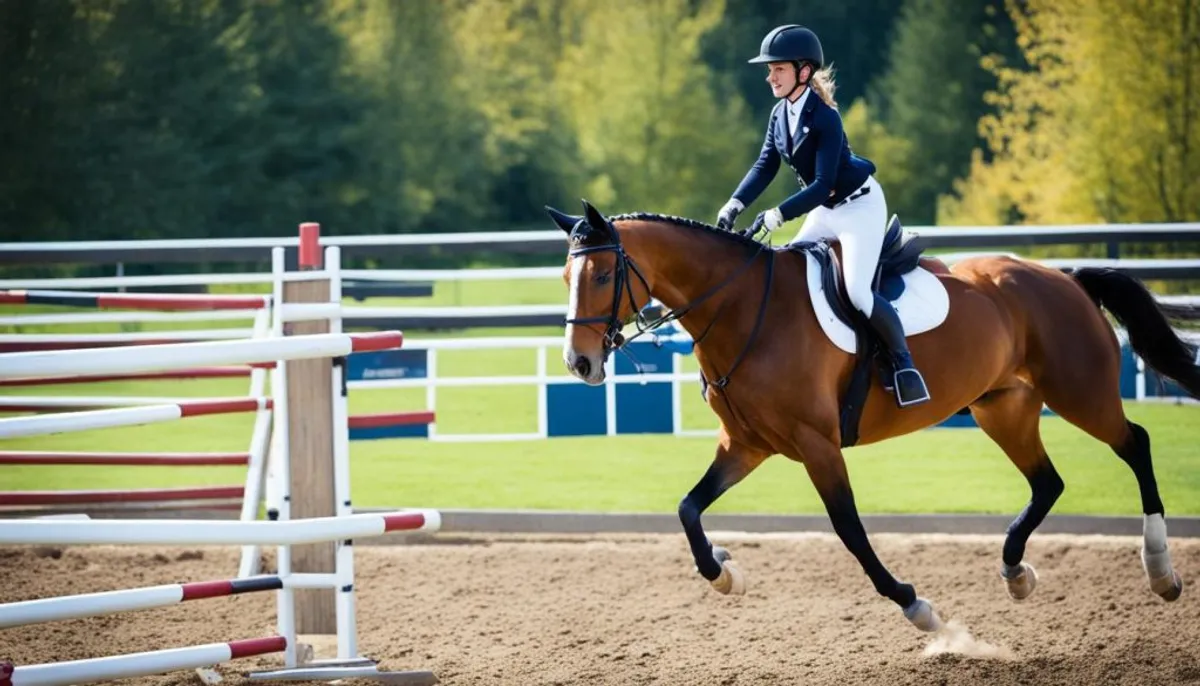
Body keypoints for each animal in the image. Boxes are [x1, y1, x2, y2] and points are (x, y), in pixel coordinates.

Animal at [547, 197, 1200, 633]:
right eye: (565, 275)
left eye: (602, 274)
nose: (579, 363)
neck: (740, 308)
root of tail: (1064, 277)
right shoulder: (747, 444)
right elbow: (688, 509)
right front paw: (725, 571)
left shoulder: (816, 444)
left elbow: (851, 531)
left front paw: (918, 607)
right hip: (1002, 409)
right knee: (1048, 482)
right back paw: (1016, 572)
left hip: (1079, 393)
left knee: (1134, 443)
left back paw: (1160, 571)